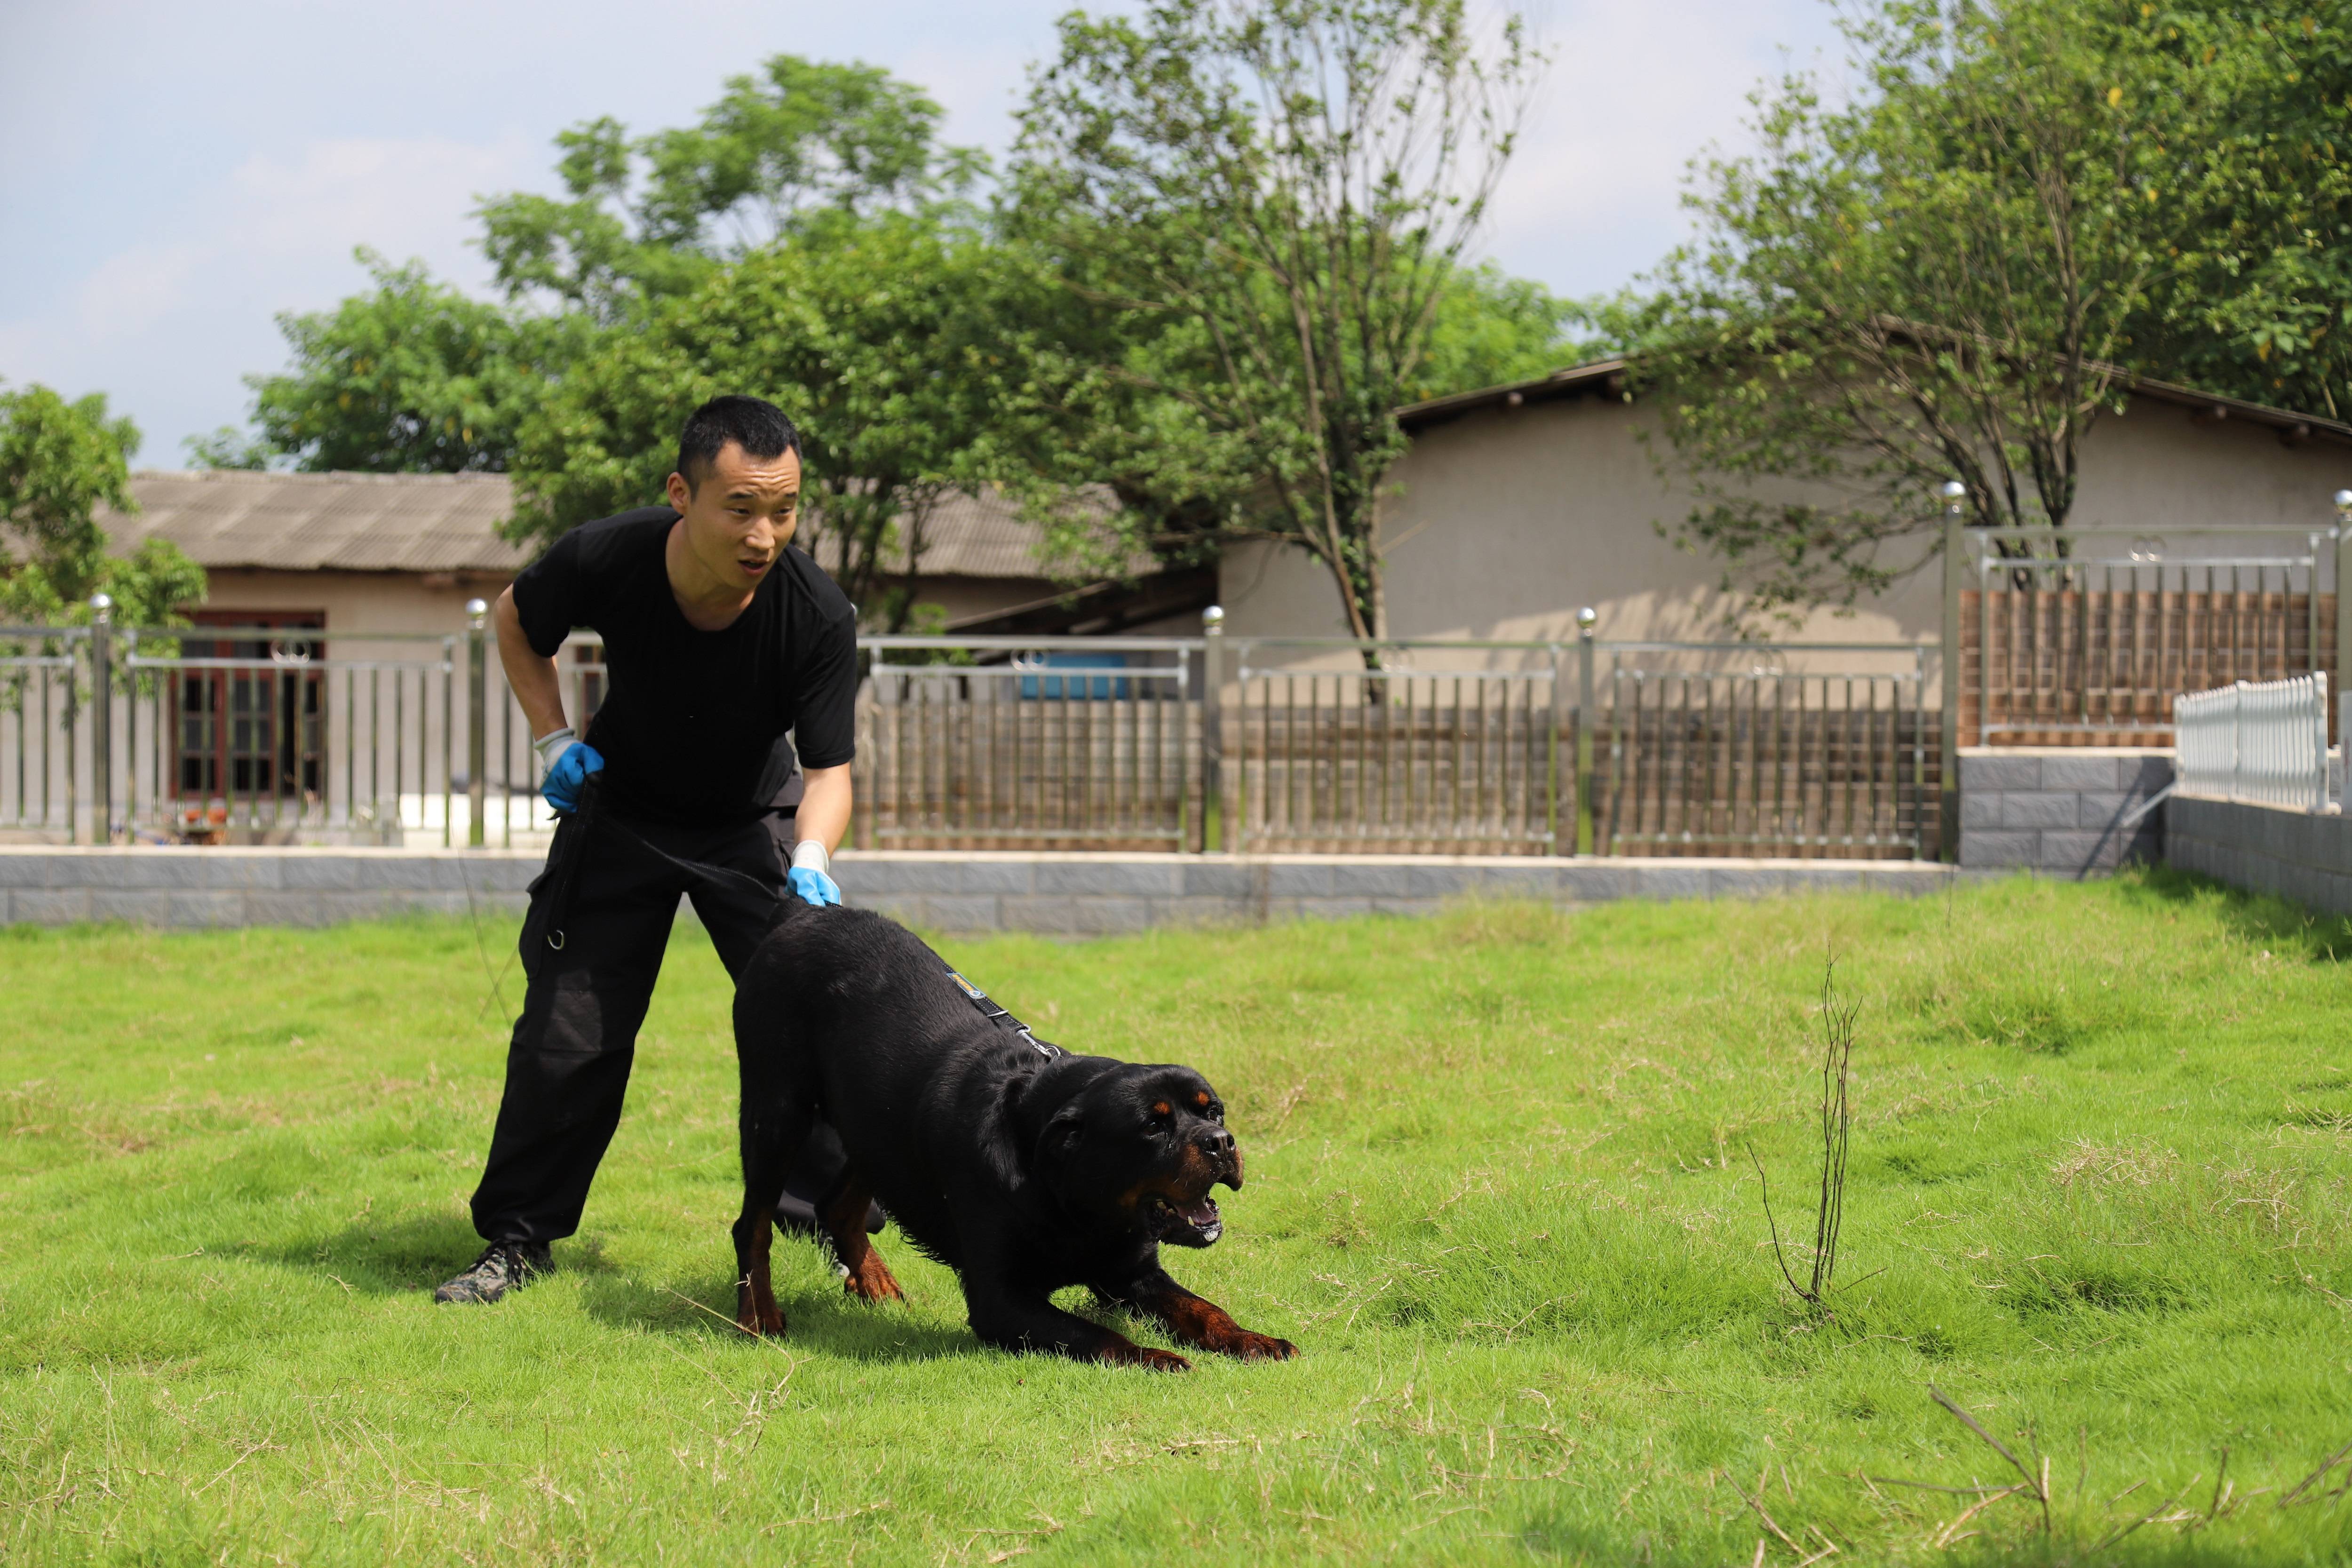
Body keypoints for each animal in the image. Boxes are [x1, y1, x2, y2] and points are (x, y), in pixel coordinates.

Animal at [724, 902, 1298, 1363]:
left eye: (1214, 1113)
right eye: (1153, 1126)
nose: (1220, 1142)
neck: (1073, 1199)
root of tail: (806, 913)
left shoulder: (1133, 1272)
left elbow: (1203, 1308)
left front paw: (1252, 1338)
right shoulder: (1002, 1300)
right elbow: (1093, 1335)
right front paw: (1156, 1357)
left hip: (873, 1128)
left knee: (838, 1205)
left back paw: (874, 1282)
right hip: (777, 1109)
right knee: (752, 1223)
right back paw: (759, 1314)